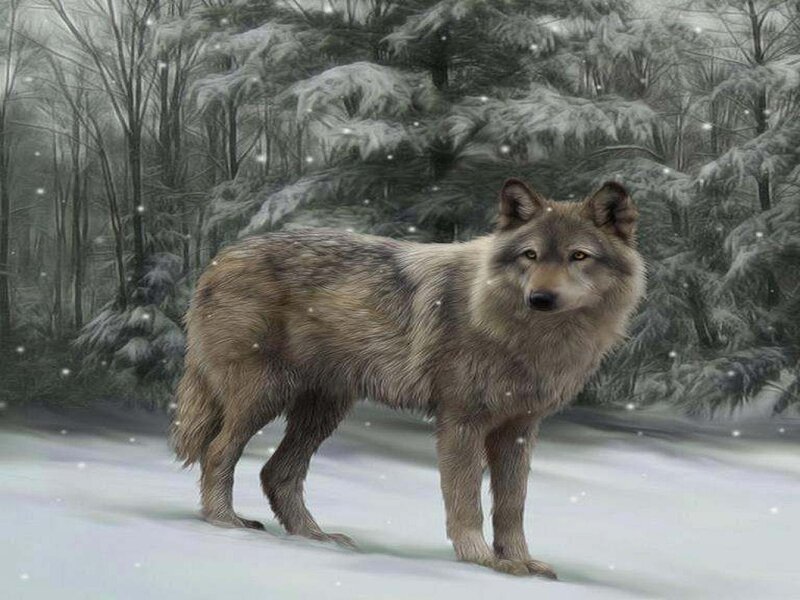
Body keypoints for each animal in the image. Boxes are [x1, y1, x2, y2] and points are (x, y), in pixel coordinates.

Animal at [173, 178, 645, 578]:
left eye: (578, 256)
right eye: (529, 255)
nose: (541, 298)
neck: (528, 338)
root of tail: (221, 257)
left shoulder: (518, 431)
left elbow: (512, 507)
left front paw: (521, 562)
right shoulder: (461, 423)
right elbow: (466, 502)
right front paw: (479, 559)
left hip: (323, 410)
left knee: (277, 471)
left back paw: (316, 537)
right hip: (265, 396)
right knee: (218, 452)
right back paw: (225, 522)